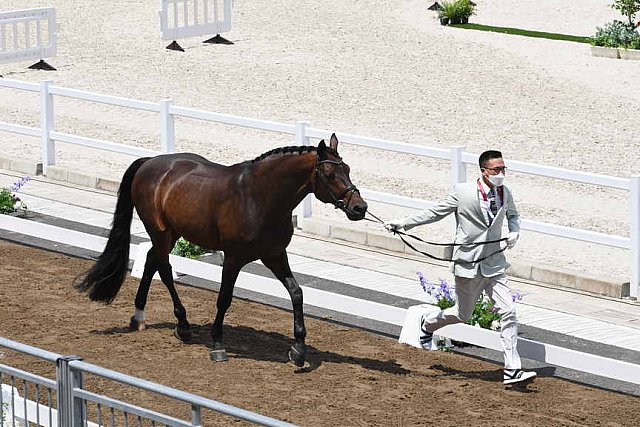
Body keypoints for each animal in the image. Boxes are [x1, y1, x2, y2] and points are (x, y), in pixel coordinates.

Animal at [75, 135, 368, 368]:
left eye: (348, 169)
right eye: (329, 173)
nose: (359, 208)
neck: (260, 197)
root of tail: (150, 162)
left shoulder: (274, 255)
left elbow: (296, 293)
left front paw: (298, 350)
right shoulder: (234, 258)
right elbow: (224, 298)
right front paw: (218, 346)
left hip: (172, 233)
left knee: (150, 262)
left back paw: (140, 318)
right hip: (159, 231)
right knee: (165, 269)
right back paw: (182, 326)